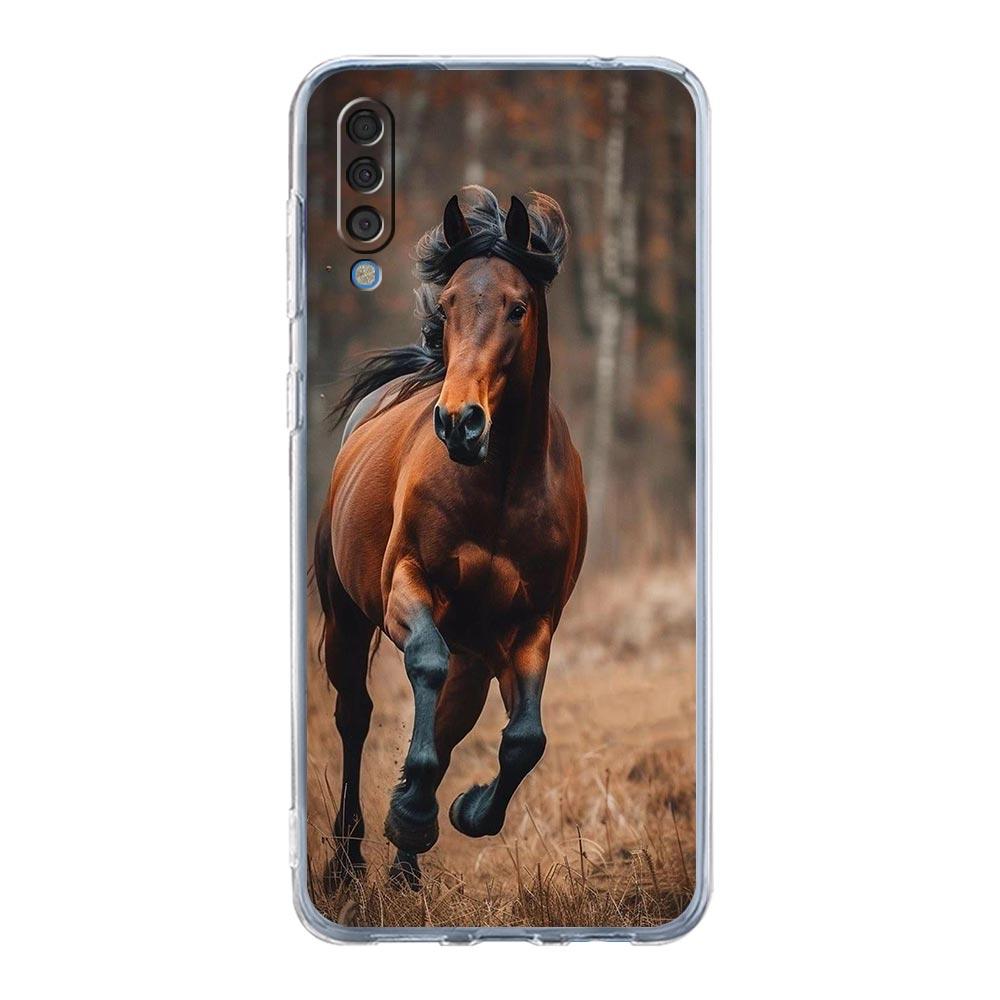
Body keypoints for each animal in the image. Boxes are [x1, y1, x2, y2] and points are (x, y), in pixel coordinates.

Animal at [314, 186, 587, 888]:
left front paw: (461, 811)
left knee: (446, 719)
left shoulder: (532, 623)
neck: (500, 487)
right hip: (347, 617)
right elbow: (424, 663)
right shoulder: (407, 587)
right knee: (355, 714)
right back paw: (350, 858)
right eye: (449, 304)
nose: (460, 423)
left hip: (477, 656)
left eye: (518, 307)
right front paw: (411, 814)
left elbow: (525, 739)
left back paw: (406, 865)